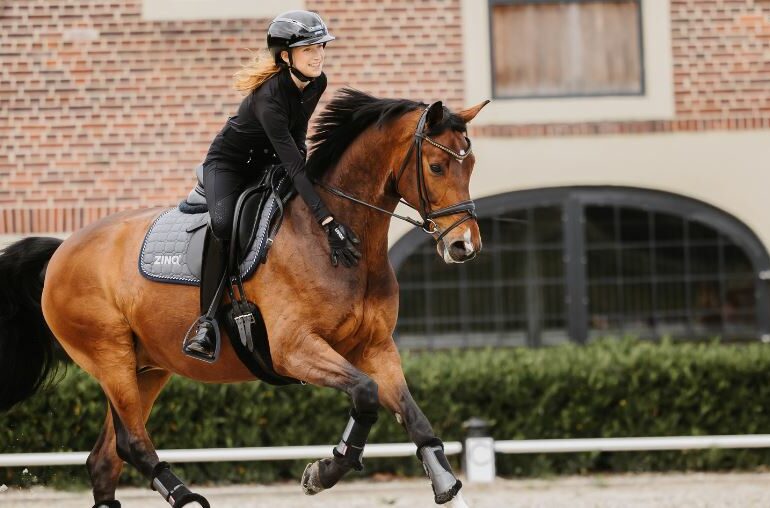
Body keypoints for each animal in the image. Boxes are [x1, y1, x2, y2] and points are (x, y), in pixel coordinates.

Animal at [0, 88, 488, 508]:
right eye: (437, 167)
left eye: (471, 165)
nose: (464, 246)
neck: (335, 237)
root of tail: (61, 250)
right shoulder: (295, 350)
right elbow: (366, 394)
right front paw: (322, 472)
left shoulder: (376, 347)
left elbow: (412, 416)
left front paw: (445, 484)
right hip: (110, 356)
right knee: (132, 442)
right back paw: (187, 498)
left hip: (146, 367)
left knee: (105, 460)